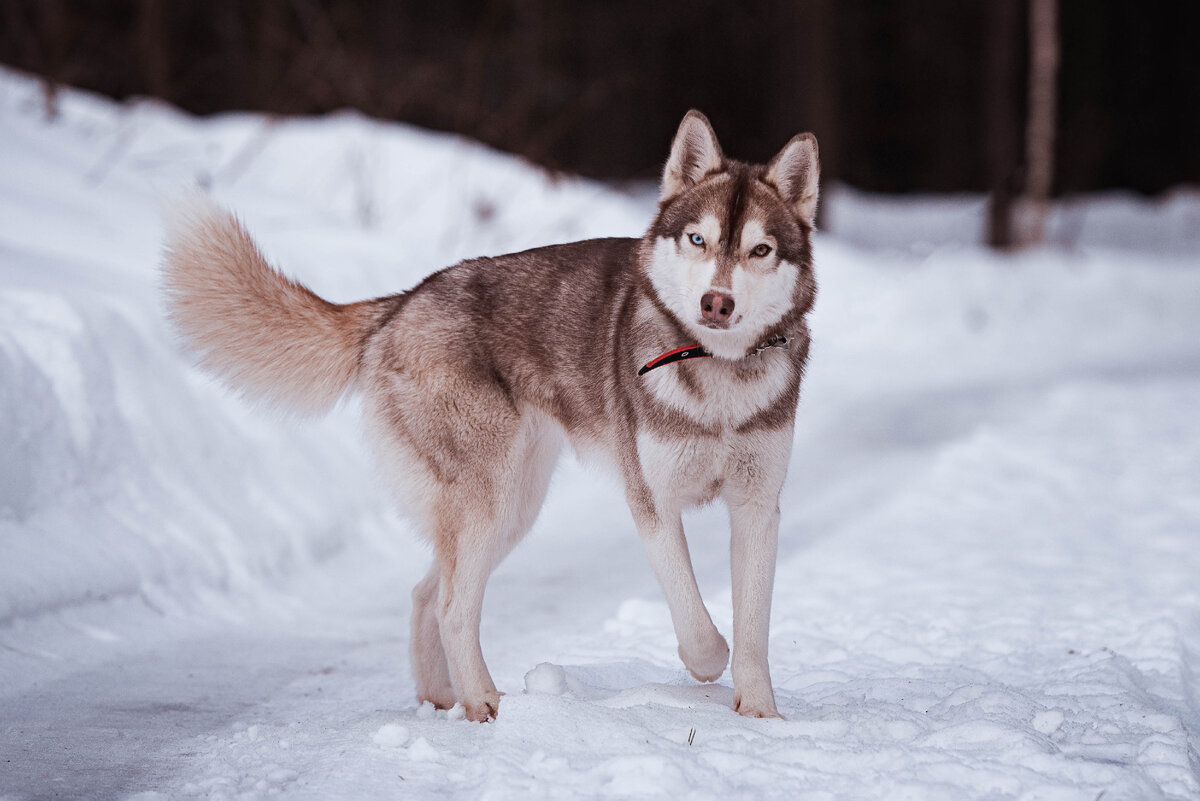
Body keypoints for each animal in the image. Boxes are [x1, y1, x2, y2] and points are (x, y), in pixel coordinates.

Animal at [164, 110, 820, 719]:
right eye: (697, 240)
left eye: (760, 250)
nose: (717, 303)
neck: (719, 381)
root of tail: (400, 304)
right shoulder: (652, 503)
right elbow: (700, 627)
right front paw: (709, 667)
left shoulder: (759, 506)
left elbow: (753, 627)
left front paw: (761, 714)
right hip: (490, 501)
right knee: (453, 607)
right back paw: (483, 704)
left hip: (511, 508)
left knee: (426, 594)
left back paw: (441, 698)